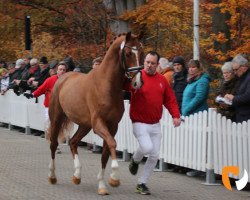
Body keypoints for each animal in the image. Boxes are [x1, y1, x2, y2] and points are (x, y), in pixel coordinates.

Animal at [47, 32, 144, 194]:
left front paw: (102, 185)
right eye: (128, 53)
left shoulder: (112, 126)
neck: (106, 85)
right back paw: (52, 176)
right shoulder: (99, 124)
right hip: (57, 118)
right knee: (53, 144)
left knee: (73, 142)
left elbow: (105, 153)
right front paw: (114, 178)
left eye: (142, 53)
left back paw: (77, 175)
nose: (137, 83)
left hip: (84, 125)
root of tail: (62, 77)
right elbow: (112, 143)